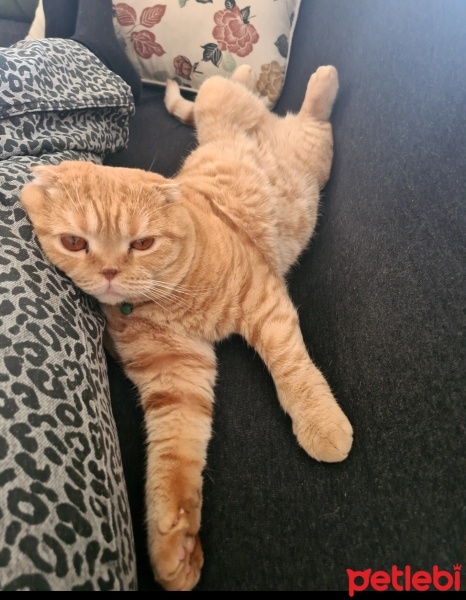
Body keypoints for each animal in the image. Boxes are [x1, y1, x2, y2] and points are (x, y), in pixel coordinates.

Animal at [20, 65, 352, 592]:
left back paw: (299, 77)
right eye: (75, 242)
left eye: (142, 243)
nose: (109, 272)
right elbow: (174, 454)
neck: (167, 302)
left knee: (293, 109)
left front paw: (321, 423)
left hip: (292, 145)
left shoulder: (263, 303)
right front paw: (173, 542)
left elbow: (292, 370)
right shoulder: (176, 375)